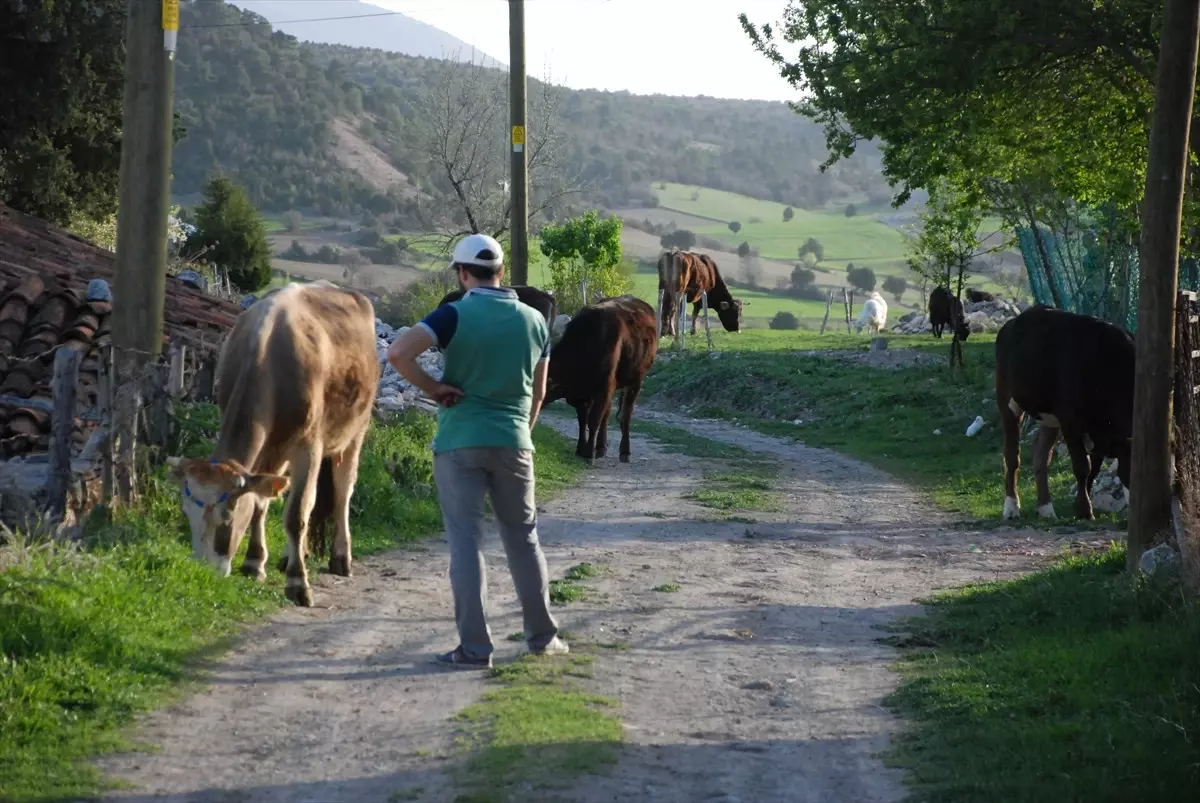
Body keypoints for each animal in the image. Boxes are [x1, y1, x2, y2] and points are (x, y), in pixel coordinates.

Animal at [165, 283, 379, 607]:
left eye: (227, 519)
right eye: (185, 513)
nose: (204, 573)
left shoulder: (309, 447)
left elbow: (297, 514)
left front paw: (298, 583)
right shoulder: (266, 452)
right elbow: (259, 503)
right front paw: (255, 563)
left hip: (354, 432)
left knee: (342, 492)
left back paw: (341, 557)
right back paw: (292, 556)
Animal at [544, 294, 657, 463]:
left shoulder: (603, 386)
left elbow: (593, 420)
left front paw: (588, 453)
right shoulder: (582, 394)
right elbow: (583, 420)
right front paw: (581, 449)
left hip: (636, 380)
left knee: (626, 415)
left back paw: (625, 452)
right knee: (608, 413)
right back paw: (601, 447)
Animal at [993, 304, 1132, 520]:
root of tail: (1014, 322)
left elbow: (1094, 467)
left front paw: (1080, 506)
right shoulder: (1070, 421)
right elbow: (1083, 466)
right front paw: (1085, 510)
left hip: (1049, 418)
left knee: (1040, 454)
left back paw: (1046, 508)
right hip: (1007, 400)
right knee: (1012, 456)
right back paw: (1011, 507)